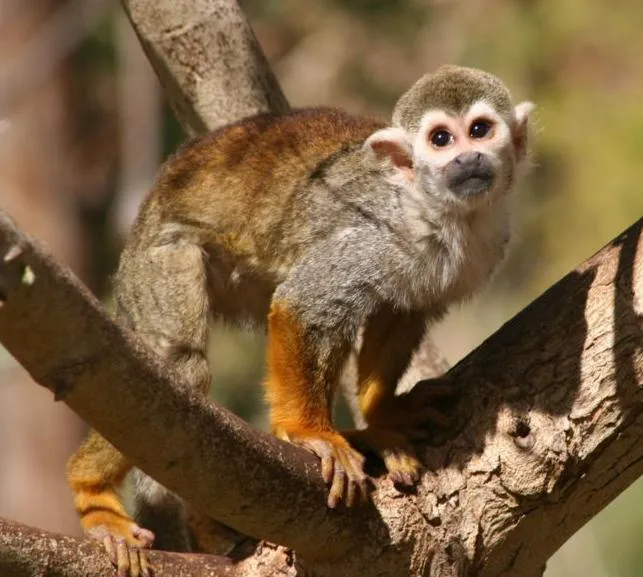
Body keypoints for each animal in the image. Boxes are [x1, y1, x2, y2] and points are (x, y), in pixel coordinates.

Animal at [68, 66, 536, 572]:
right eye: (441, 139)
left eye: (480, 130)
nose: (467, 158)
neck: (445, 214)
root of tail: (150, 203)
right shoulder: (373, 236)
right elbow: (303, 304)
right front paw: (311, 434)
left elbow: (400, 313)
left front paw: (383, 414)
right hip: (161, 255)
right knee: (181, 366)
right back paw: (92, 493)